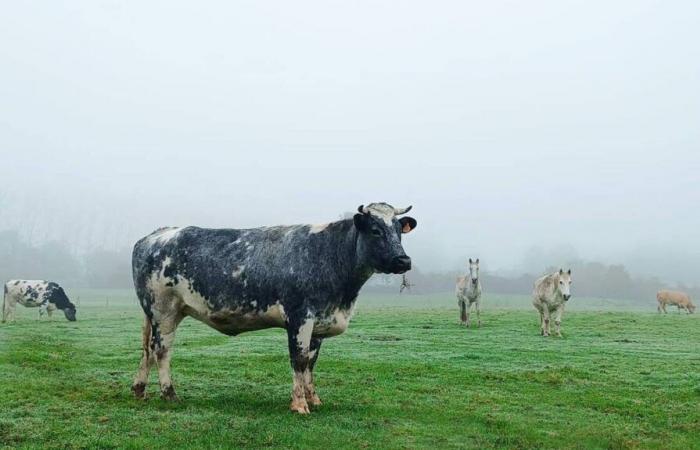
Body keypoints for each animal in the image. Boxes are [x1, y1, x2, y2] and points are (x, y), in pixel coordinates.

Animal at [130, 202, 416, 414]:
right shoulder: (300, 317)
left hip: (155, 312)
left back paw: (140, 390)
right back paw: (169, 394)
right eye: (375, 230)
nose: (403, 260)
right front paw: (299, 405)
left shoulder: (320, 322)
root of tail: (156, 235)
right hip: (164, 310)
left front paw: (314, 399)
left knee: (147, 349)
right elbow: (298, 360)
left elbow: (311, 362)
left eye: (399, 231)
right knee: (161, 349)